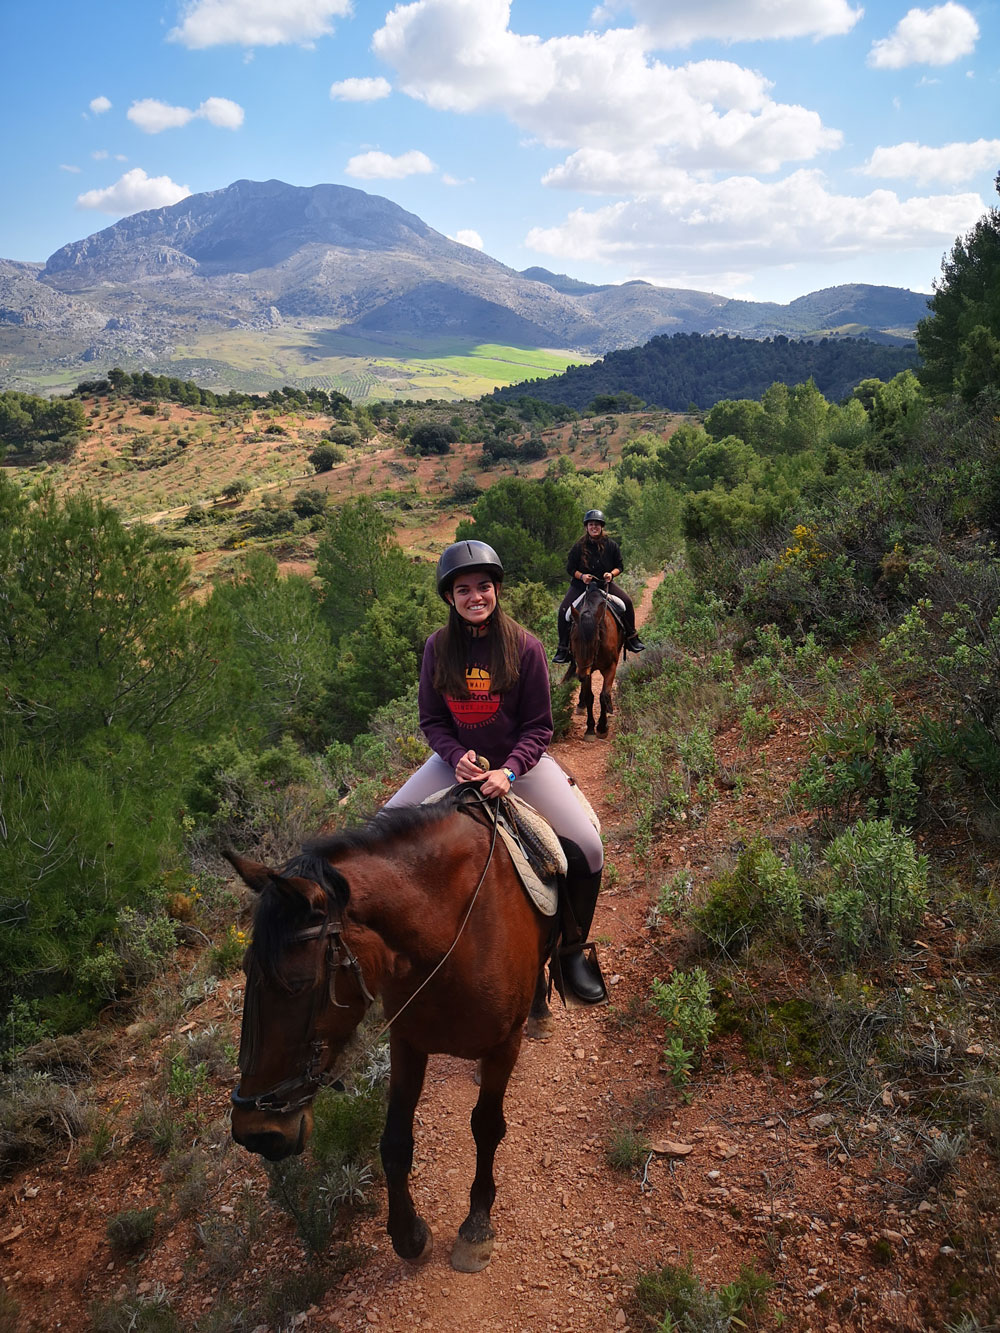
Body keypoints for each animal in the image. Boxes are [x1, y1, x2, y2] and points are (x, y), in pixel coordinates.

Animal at [222, 783, 552, 1274]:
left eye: (297, 984)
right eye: (247, 972)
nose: (255, 1132)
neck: (453, 935)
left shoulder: (503, 1045)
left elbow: (486, 1126)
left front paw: (476, 1227)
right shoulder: (407, 1040)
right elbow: (394, 1141)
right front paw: (408, 1235)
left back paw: (541, 1010)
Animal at [568, 578, 624, 735]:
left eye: (595, 641)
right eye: (573, 639)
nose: (580, 676)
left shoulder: (611, 666)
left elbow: (604, 695)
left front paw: (602, 726)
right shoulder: (586, 669)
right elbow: (589, 696)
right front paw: (590, 728)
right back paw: (580, 705)